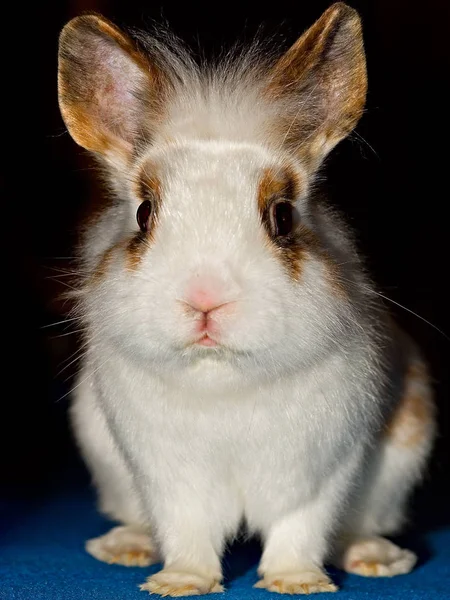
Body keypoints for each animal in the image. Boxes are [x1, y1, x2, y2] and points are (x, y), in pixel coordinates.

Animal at [57, 2, 436, 596]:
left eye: (282, 217)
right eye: (143, 213)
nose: (205, 298)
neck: (221, 375)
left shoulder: (319, 471)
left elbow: (299, 529)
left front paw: (298, 581)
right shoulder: (169, 477)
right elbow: (185, 530)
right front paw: (180, 582)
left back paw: (375, 556)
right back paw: (127, 548)